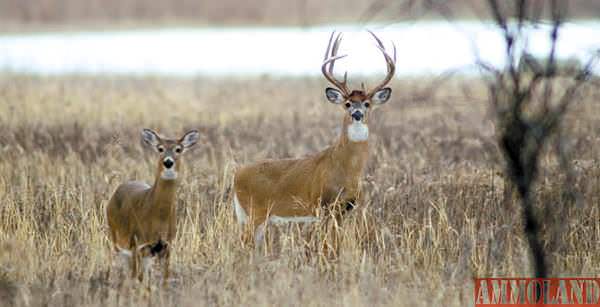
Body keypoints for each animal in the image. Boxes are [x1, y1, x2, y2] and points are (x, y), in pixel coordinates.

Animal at [106, 129, 200, 286]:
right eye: (160, 148)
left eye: (178, 149)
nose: (168, 162)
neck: (158, 219)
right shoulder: (138, 244)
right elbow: (137, 278)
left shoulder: (166, 246)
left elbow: (165, 280)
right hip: (118, 240)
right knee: (128, 271)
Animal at [232, 30, 396, 249]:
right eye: (347, 103)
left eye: (367, 103)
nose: (357, 114)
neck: (345, 168)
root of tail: (236, 175)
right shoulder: (321, 204)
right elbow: (326, 246)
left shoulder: (345, 208)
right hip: (255, 211)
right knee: (241, 242)